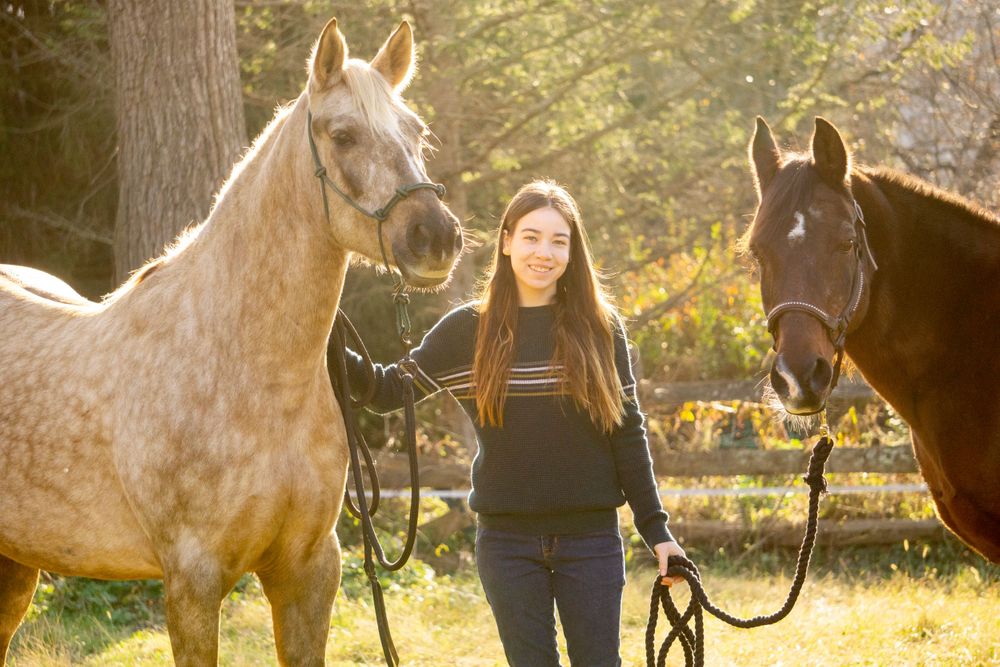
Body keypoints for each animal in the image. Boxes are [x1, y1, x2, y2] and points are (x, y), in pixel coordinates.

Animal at [0, 17, 462, 665]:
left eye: (417, 132)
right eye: (343, 136)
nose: (436, 237)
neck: (243, 369)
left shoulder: (308, 571)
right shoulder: (192, 583)